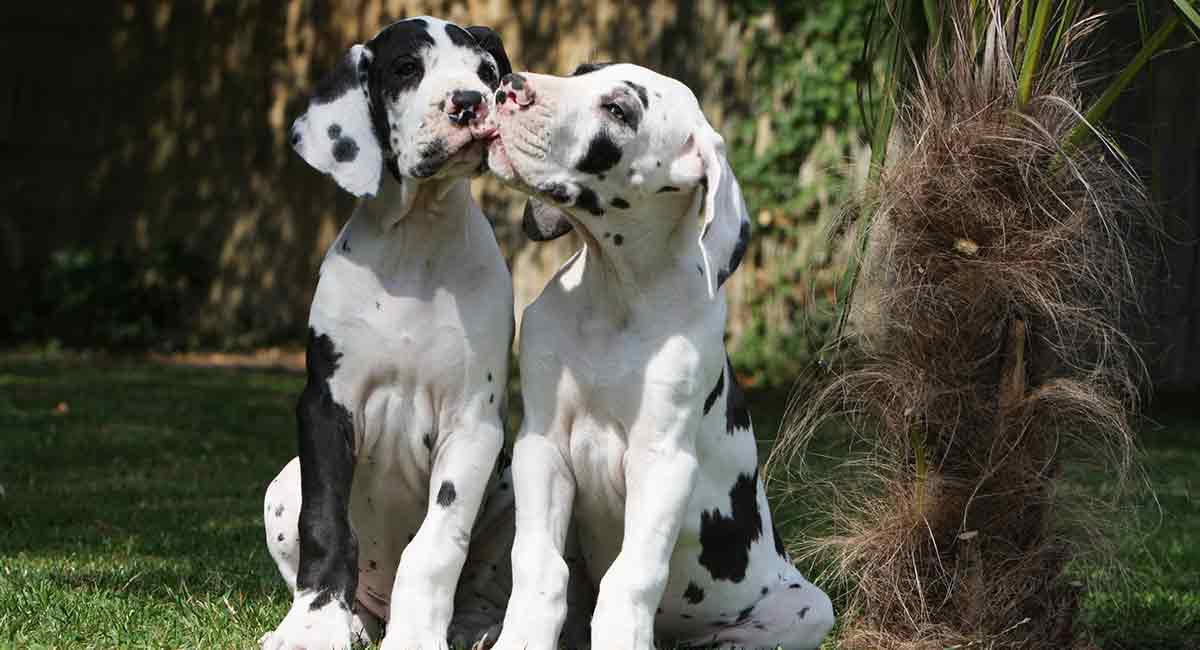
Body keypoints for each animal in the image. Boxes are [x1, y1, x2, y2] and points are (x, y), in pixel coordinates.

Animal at [262, 15, 516, 650]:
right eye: (406, 70)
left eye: (487, 72)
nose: (470, 103)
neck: (416, 240)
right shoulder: (326, 407)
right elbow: (326, 524)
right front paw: (312, 626)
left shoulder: (472, 422)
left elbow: (437, 544)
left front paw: (419, 633)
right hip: (282, 484)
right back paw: (353, 620)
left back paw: (472, 629)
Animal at [477, 62, 835, 650]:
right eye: (580, 72)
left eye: (619, 110)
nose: (509, 88)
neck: (615, 296)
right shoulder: (541, 446)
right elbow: (538, 564)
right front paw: (521, 636)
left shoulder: (662, 461)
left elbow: (632, 577)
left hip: (807, 607)